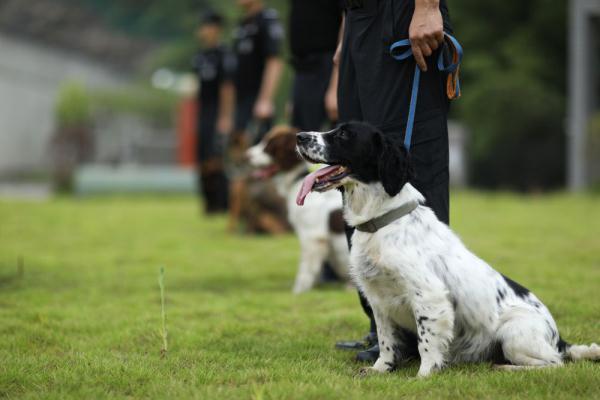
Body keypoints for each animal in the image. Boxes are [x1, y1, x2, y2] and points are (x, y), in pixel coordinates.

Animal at [296, 121, 600, 376]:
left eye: (344, 134)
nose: (299, 136)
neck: (382, 223)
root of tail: (560, 339)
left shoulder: (429, 296)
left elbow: (427, 343)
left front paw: (423, 376)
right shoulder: (379, 299)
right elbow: (386, 341)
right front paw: (380, 369)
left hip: (514, 333)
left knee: (554, 363)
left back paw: (507, 368)